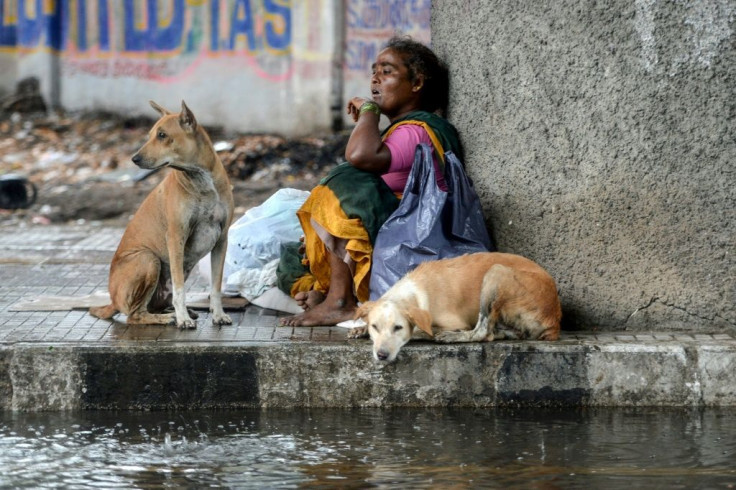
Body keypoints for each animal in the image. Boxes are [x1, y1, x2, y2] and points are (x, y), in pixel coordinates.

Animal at [88, 100, 236, 330]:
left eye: (162, 135)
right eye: (150, 135)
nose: (134, 158)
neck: (200, 179)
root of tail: (112, 300)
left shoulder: (221, 239)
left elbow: (216, 285)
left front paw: (218, 314)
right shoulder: (176, 237)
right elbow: (179, 289)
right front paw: (182, 318)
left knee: (152, 307)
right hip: (148, 259)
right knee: (135, 315)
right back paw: (168, 317)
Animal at [354, 255, 560, 362]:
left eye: (398, 328)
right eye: (375, 327)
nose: (381, 355)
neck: (413, 292)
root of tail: (554, 320)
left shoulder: (450, 322)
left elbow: (423, 329)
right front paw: (360, 329)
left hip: (496, 272)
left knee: (482, 333)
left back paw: (451, 337)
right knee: (494, 333)